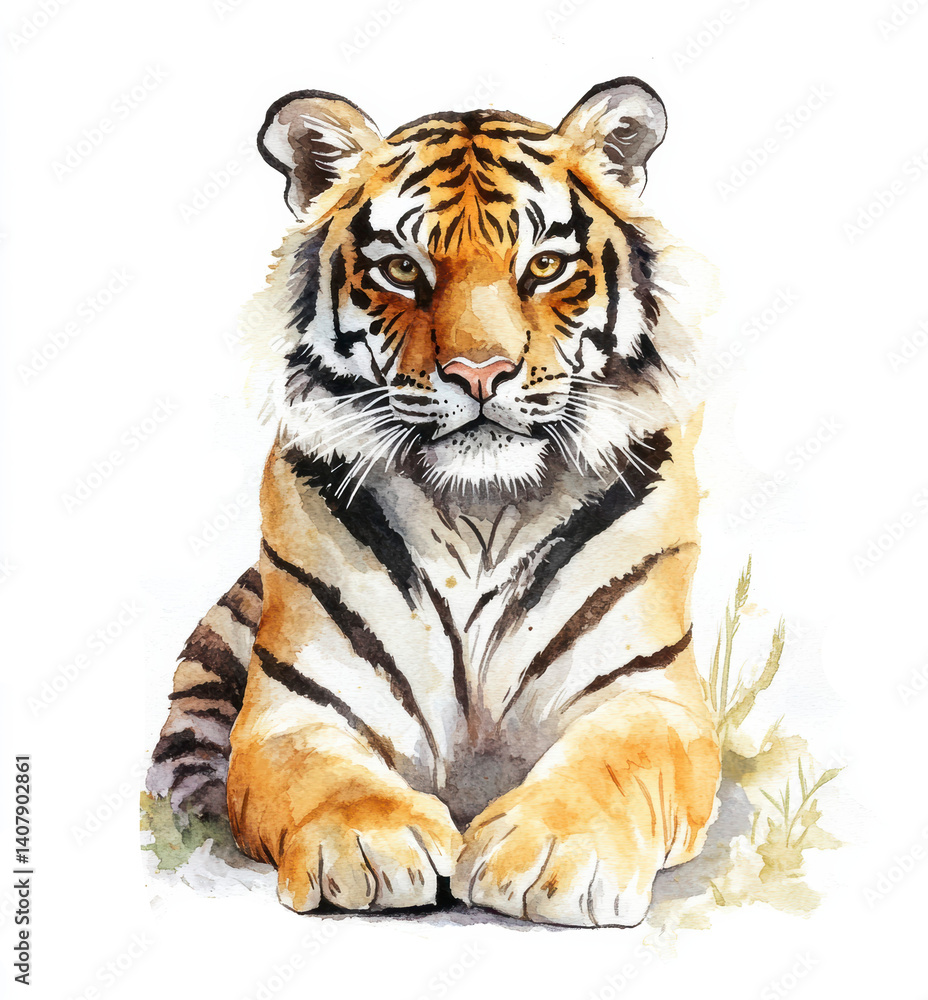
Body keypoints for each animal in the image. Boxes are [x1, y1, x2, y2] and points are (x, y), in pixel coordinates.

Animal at [146, 76, 721, 928]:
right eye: (402, 269)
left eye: (544, 265)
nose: (480, 373)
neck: (480, 509)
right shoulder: (299, 708)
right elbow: (326, 775)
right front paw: (370, 846)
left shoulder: (645, 693)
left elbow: (613, 763)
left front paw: (550, 854)